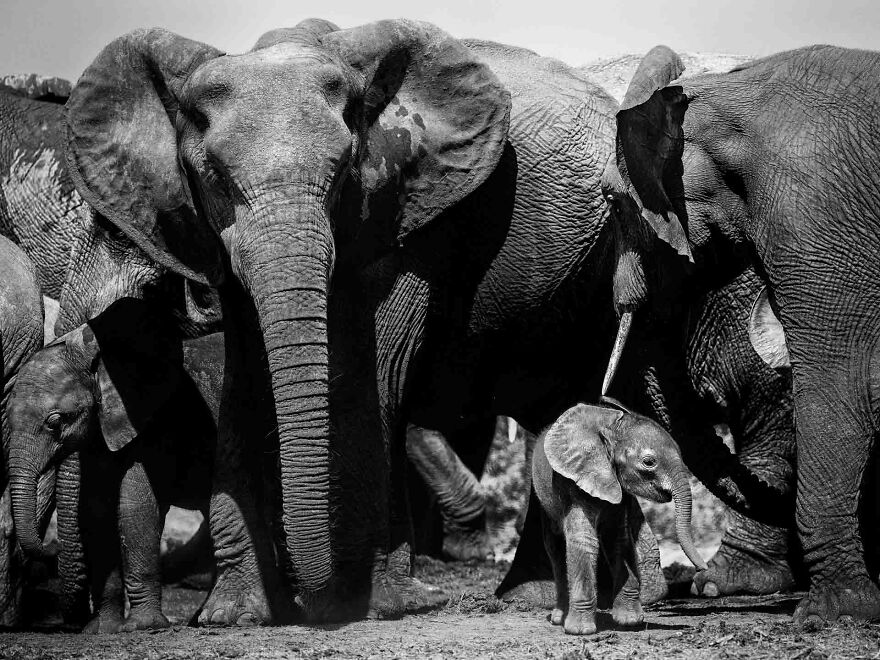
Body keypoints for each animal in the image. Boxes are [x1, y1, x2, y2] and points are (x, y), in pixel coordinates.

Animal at [7, 298, 221, 632]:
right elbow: (96, 511)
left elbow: (134, 508)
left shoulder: (150, 427)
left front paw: (142, 627)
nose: (52, 548)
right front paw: (101, 630)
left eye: (55, 422)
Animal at [63, 18, 629, 623]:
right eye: (214, 176)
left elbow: (372, 374)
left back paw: (527, 598)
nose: (314, 600)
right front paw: (234, 614)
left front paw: (374, 604)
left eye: (342, 173)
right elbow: (246, 380)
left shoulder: (402, 216)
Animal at [533, 399, 705, 635]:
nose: (702, 569)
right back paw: (559, 619)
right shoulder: (573, 483)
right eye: (648, 462)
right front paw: (580, 631)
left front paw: (629, 622)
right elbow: (583, 540)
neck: (611, 428)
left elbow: (619, 539)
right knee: (556, 549)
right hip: (543, 501)